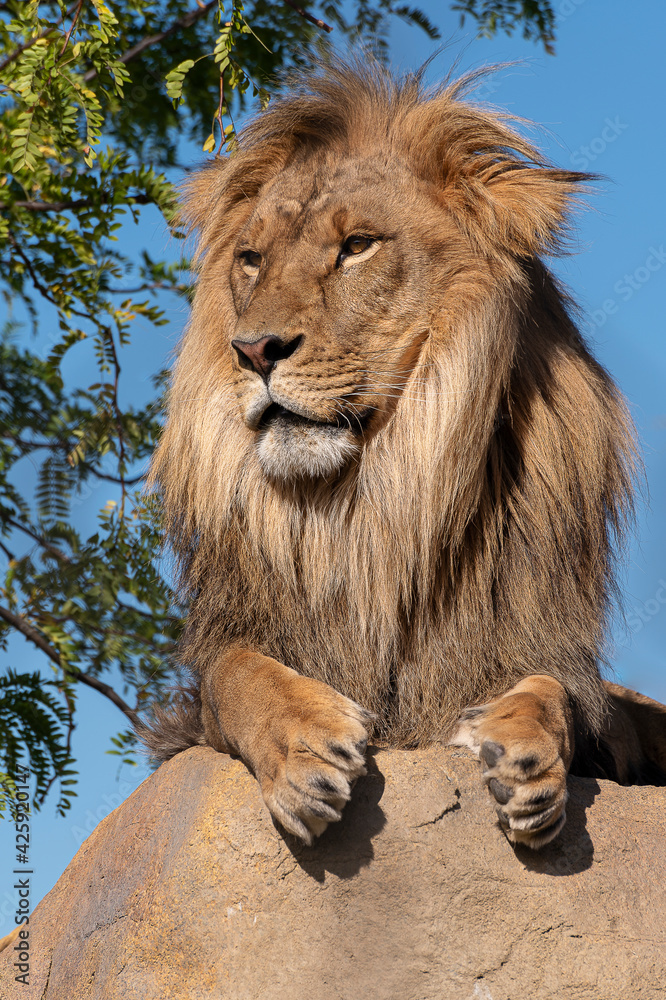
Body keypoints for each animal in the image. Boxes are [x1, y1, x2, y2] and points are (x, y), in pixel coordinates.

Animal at [141, 60, 666, 849]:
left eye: (358, 245)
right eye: (252, 261)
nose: (254, 350)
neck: (374, 505)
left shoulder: (543, 650)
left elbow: (553, 695)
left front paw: (525, 758)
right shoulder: (217, 670)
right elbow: (238, 675)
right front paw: (305, 750)